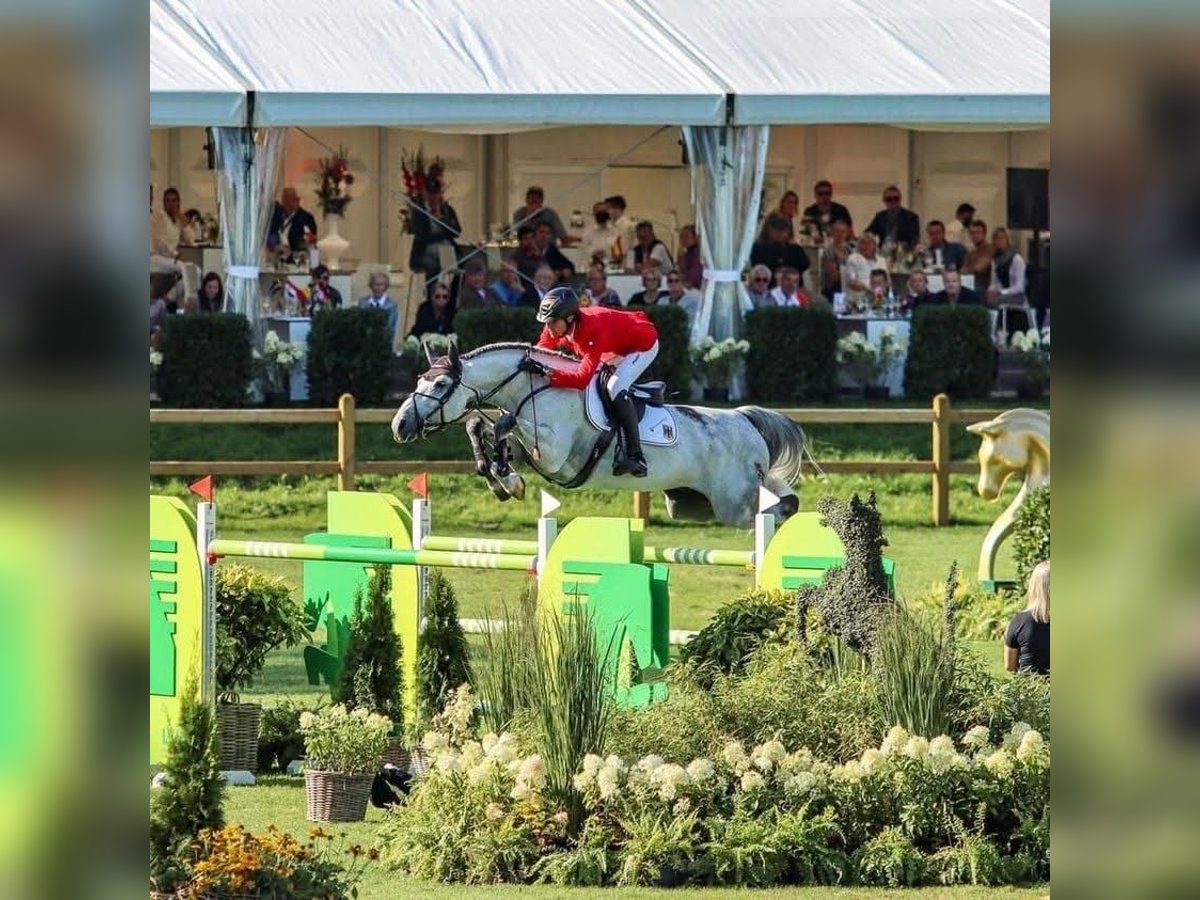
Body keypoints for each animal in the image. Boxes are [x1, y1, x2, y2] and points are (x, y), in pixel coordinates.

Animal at [388, 343, 811, 528]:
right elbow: (482, 427)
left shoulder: (555, 454)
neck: (539, 386)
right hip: (694, 502)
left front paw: (508, 478)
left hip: (733, 501)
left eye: (441, 384)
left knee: (773, 509)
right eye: (419, 380)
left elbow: (507, 425)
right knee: (784, 497)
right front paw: (502, 479)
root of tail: (744, 419)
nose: (400, 426)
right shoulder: (537, 452)